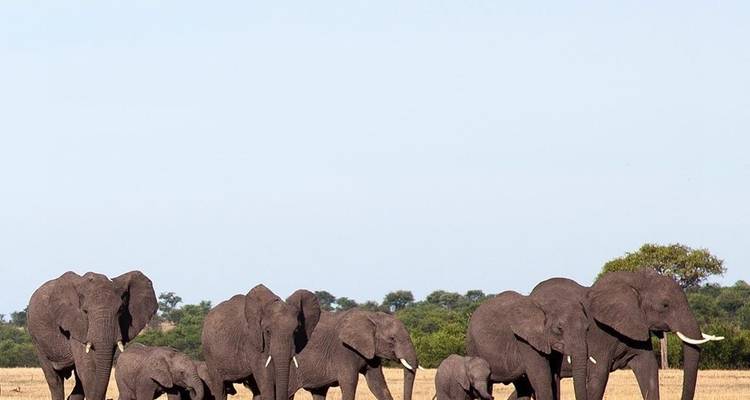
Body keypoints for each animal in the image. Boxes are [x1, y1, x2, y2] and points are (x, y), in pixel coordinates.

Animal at [27, 271, 157, 400]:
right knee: (54, 379)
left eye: (120, 310)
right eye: (85, 311)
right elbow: (87, 368)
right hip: (36, 338)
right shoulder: (75, 324)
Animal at [287, 309, 421, 400]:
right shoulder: (343, 350)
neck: (371, 316)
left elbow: (377, 384)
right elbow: (349, 382)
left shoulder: (371, 351)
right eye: (392, 339)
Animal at [509, 269, 725, 400]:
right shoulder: (600, 335)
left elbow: (648, 369)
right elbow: (598, 376)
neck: (634, 280)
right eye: (665, 305)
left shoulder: (636, 327)